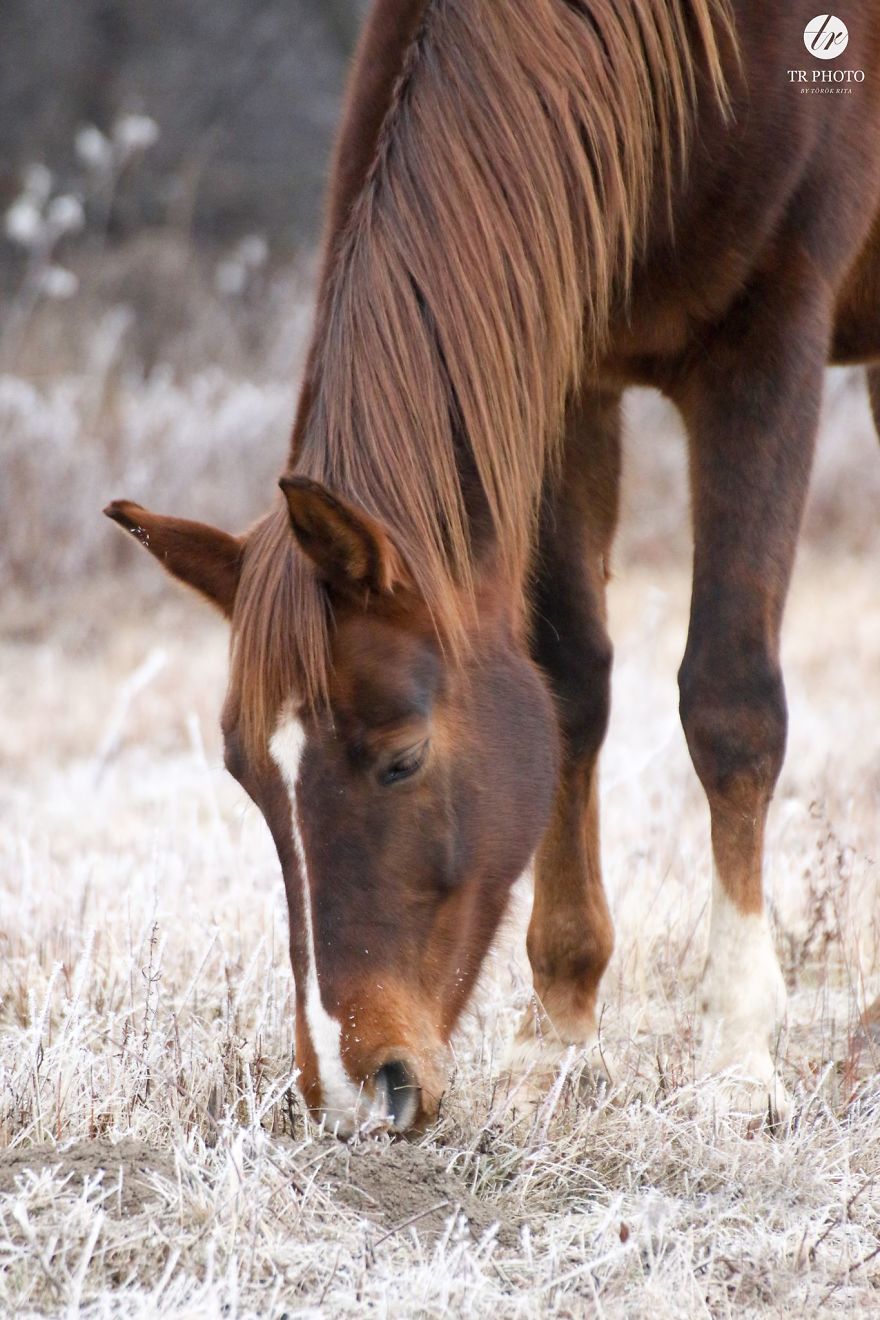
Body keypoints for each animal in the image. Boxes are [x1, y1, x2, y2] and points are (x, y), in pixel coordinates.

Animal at [105, 0, 880, 1134]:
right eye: (248, 781)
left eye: (402, 759)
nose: (355, 1092)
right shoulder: (559, 365)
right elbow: (568, 687)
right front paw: (554, 1033)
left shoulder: (767, 340)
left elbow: (729, 702)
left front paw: (739, 1059)